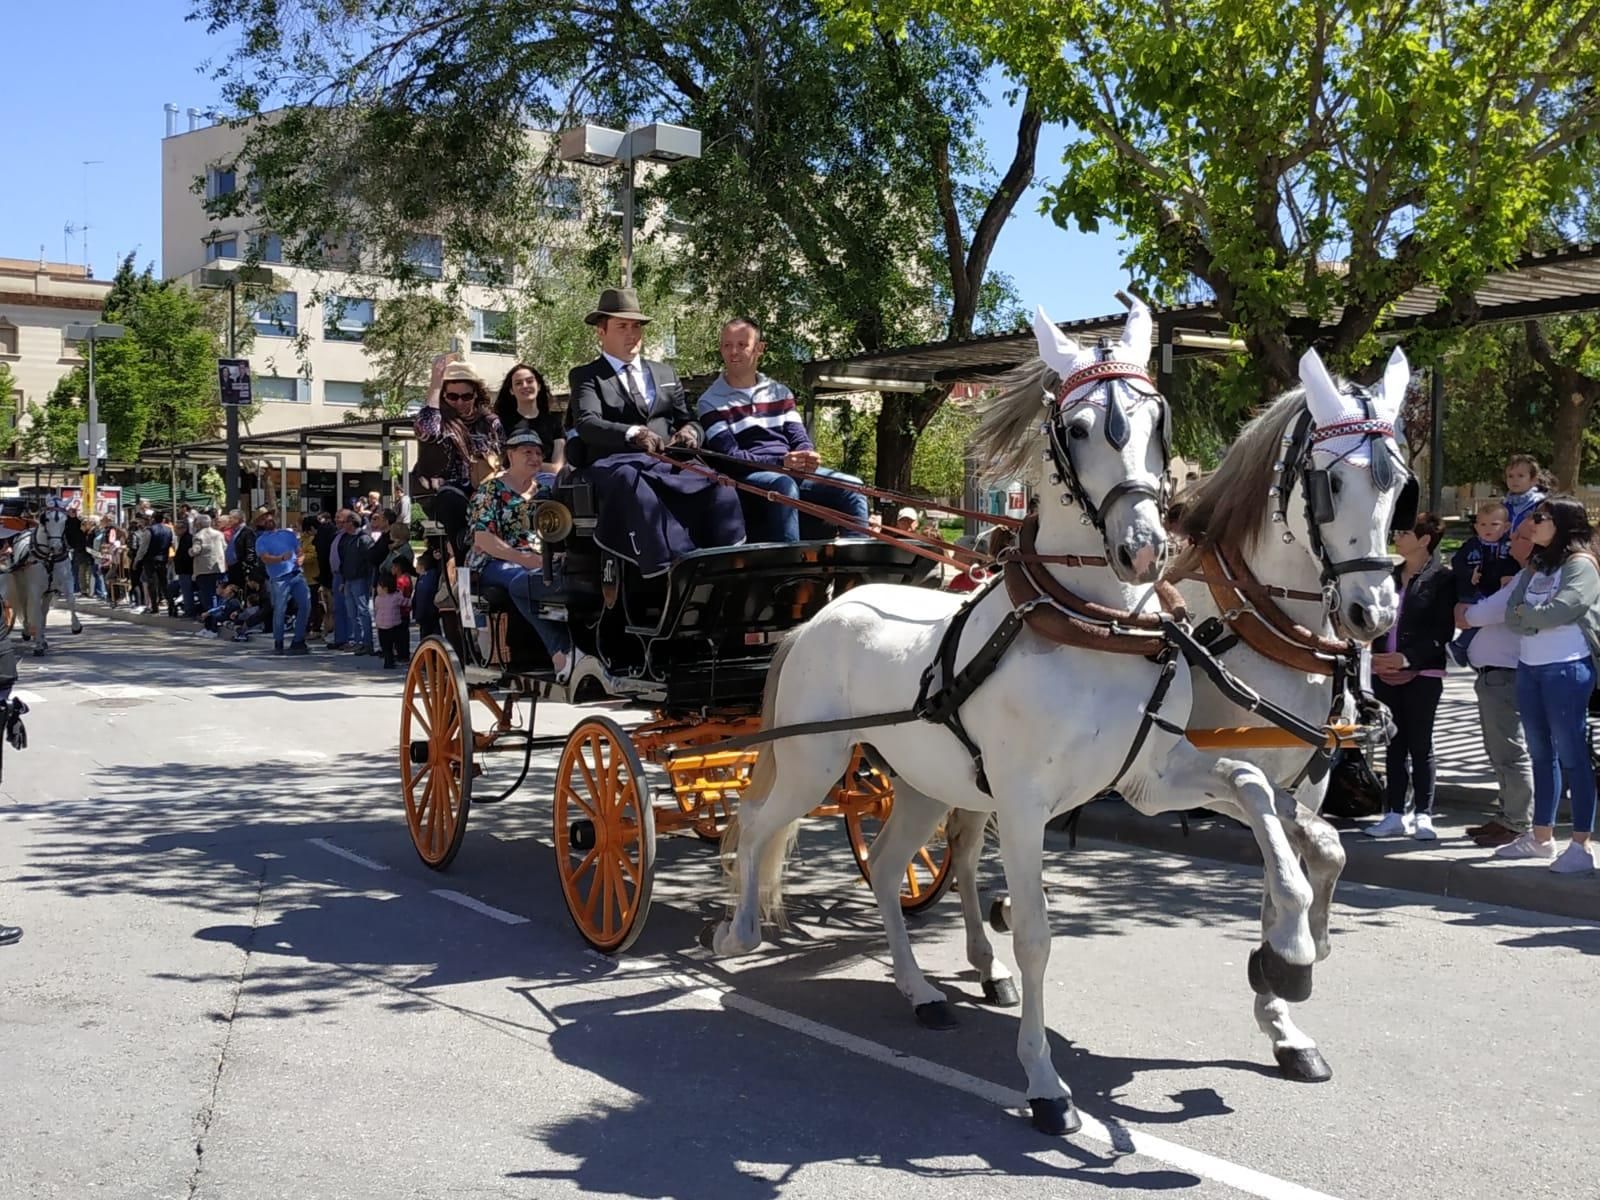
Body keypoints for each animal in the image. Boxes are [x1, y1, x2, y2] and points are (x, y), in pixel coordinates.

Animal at [9, 502, 83, 662]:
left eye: (66, 521)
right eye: (46, 519)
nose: (57, 547)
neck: (49, 557)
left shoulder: (66, 581)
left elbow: (71, 601)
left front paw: (76, 626)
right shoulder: (35, 590)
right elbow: (35, 613)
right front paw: (37, 646)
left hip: (48, 592)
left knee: (44, 611)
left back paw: (42, 639)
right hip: (22, 587)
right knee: (25, 606)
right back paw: (27, 632)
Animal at [710, 299, 1401, 1139]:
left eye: (1399, 481)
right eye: (1329, 483)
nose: (1374, 612)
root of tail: (821, 614)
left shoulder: (1176, 777)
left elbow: (1291, 843)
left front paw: (1292, 973)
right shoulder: (1026, 802)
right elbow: (1041, 935)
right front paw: (1045, 1083)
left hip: (927, 780)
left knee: (896, 864)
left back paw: (927, 986)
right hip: (816, 762)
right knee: (755, 821)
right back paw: (741, 928)